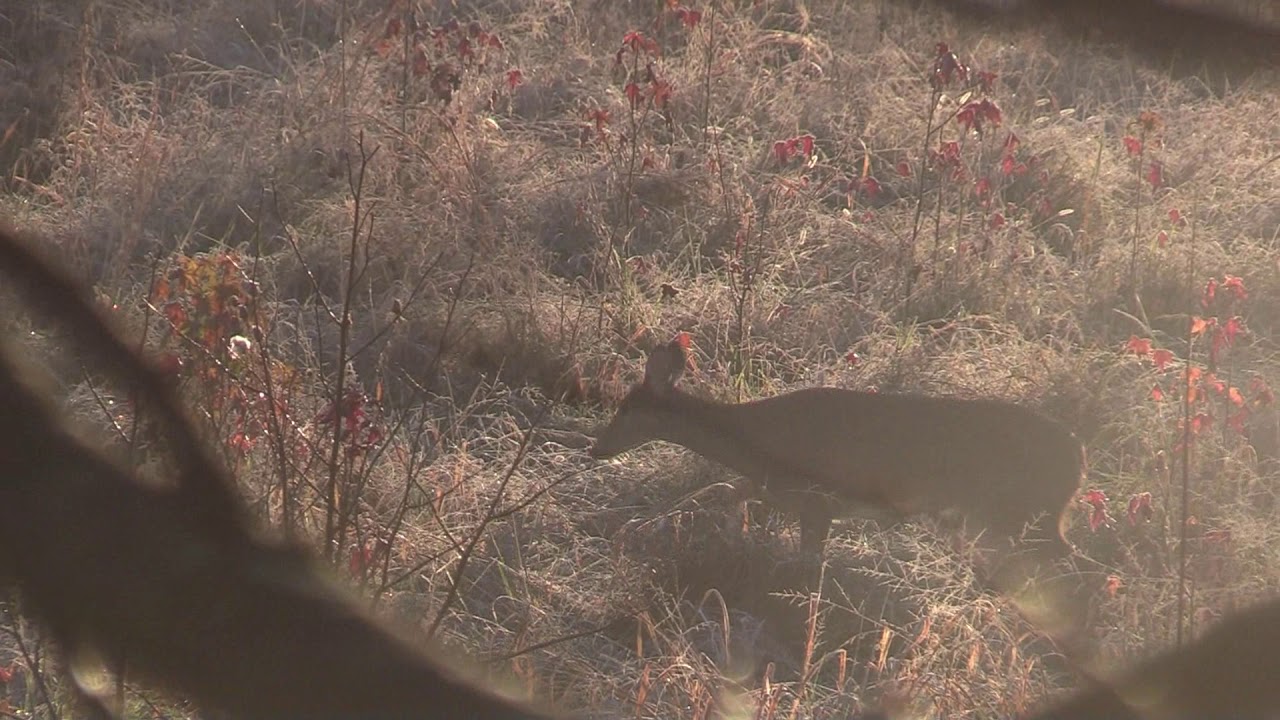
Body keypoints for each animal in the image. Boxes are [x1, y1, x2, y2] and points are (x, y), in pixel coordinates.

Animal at [590, 337, 1086, 569]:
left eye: (626, 408)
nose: (597, 449)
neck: (757, 441)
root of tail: (1080, 459)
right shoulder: (781, 490)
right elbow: (730, 489)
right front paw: (732, 530)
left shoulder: (818, 501)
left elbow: (809, 561)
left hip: (1023, 511)